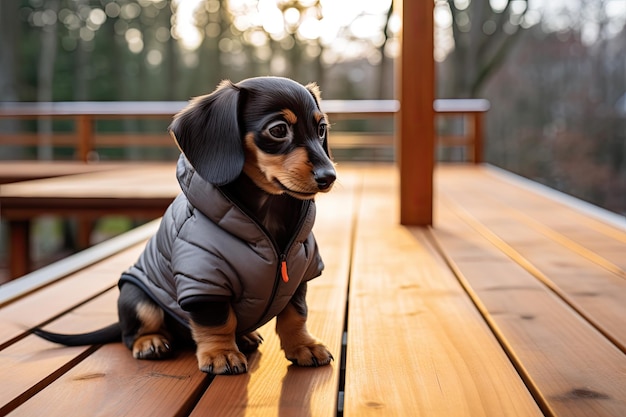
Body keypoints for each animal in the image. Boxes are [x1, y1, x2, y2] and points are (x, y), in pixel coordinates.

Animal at [34, 76, 336, 376]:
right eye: (278, 130)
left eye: (321, 128)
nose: (329, 177)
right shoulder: (203, 282)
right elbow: (217, 322)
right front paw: (221, 354)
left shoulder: (298, 275)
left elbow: (295, 315)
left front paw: (304, 346)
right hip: (136, 295)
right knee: (132, 333)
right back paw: (151, 341)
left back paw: (245, 337)